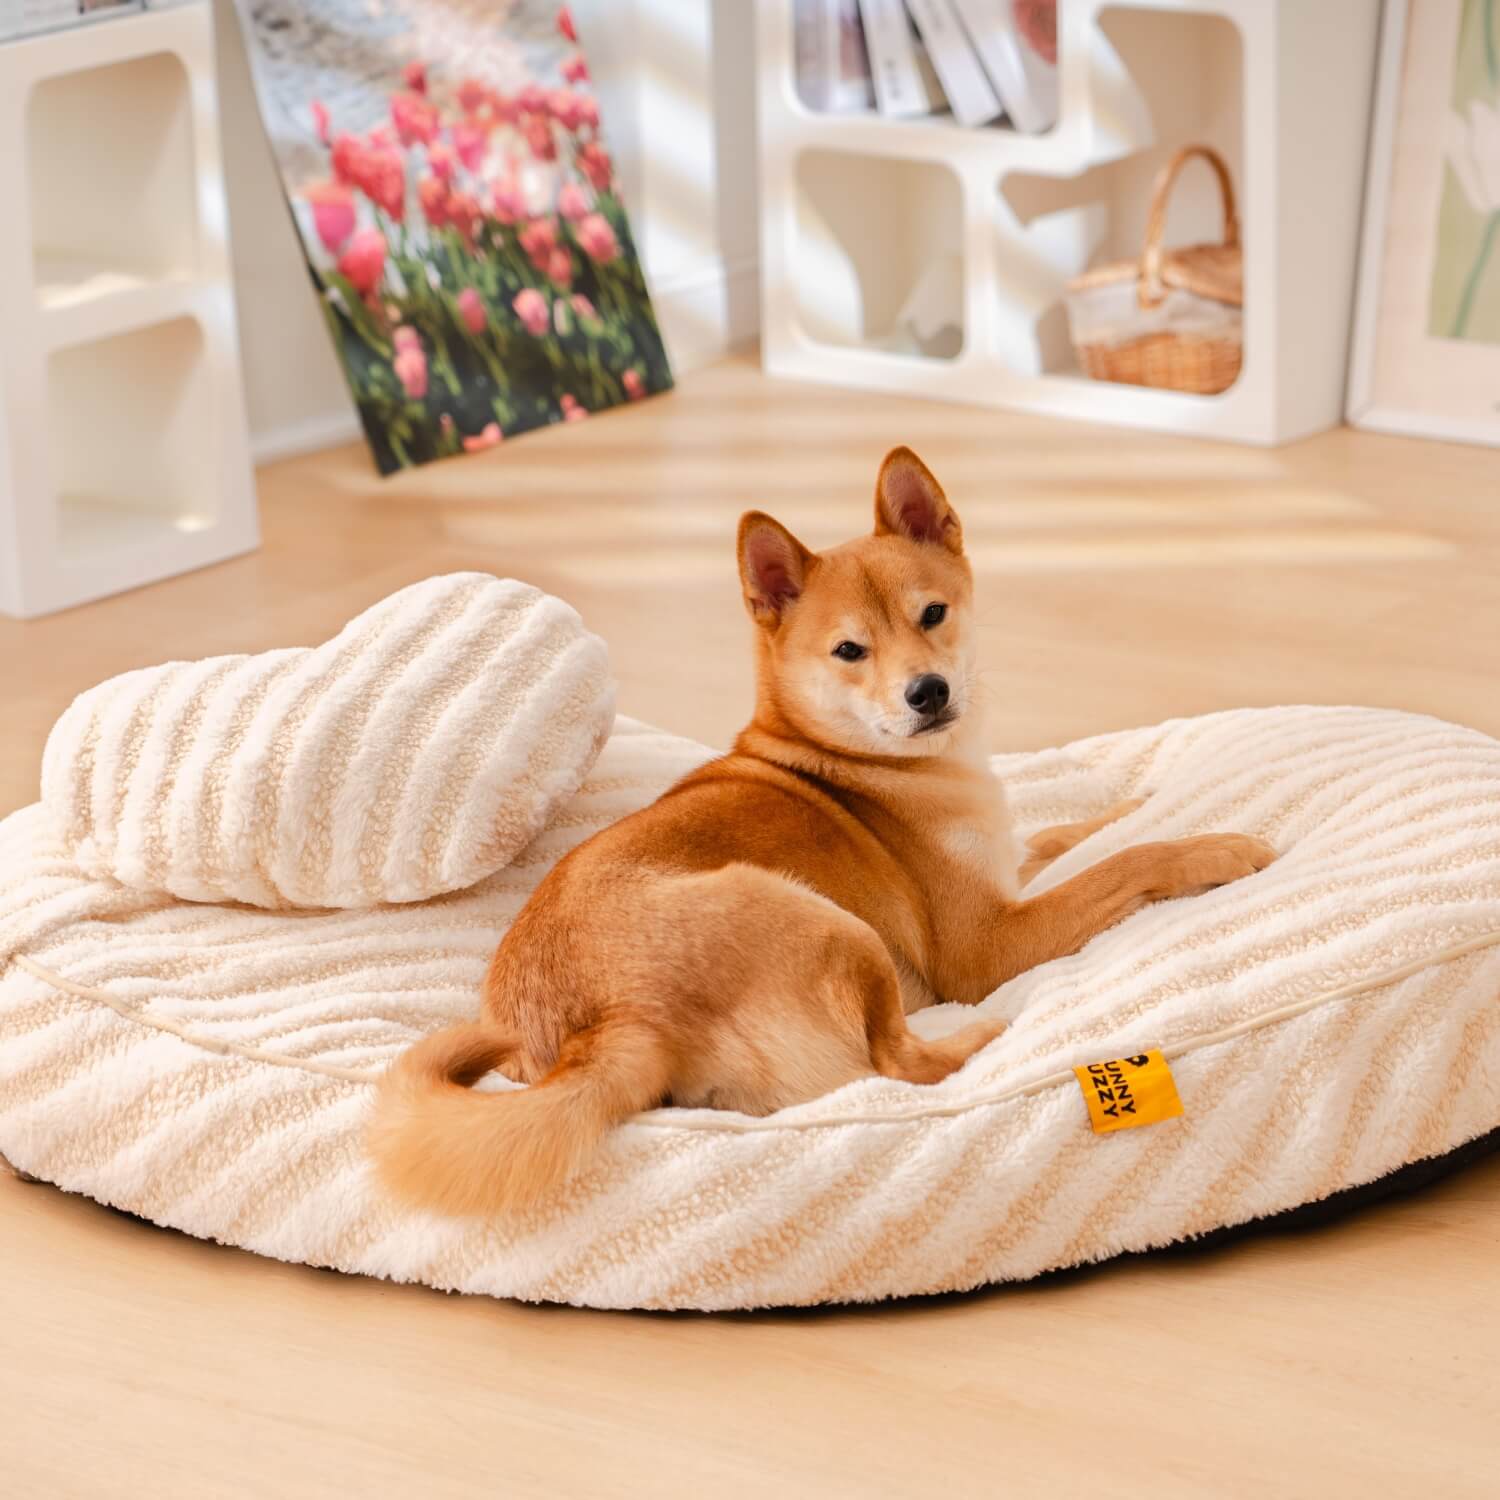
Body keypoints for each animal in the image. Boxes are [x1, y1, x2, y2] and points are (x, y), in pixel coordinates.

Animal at [369, 447, 1272, 1218]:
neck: (854, 762)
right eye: (849, 651)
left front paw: (1140, 796)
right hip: (834, 926)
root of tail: (606, 1023)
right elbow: (1128, 860)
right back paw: (990, 1032)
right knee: (900, 1068)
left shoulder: (1006, 861)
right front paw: (1220, 849)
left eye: (933, 614)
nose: (928, 691)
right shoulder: (988, 942)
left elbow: (1074, 833)